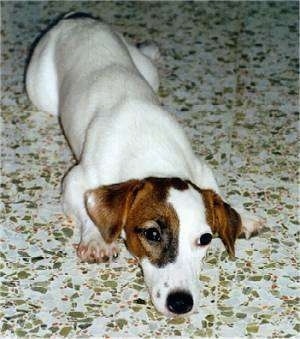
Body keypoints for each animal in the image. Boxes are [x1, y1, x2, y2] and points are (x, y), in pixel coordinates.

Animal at [26, 12, 262, 316]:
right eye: (152, 234)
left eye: (205, 239)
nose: (181, 304)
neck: (153, 154)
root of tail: (78, 17)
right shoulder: (76, 180)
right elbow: (87, 208)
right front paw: (96, 238)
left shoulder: (201, 168)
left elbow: (218, 194)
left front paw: (241, 216)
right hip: (39, 89)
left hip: (146, 69)